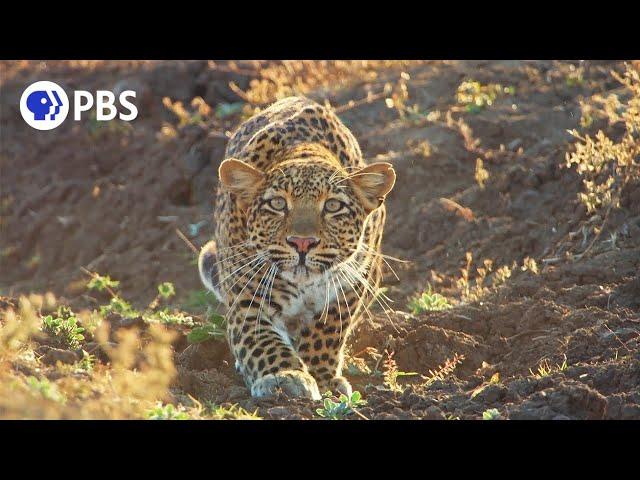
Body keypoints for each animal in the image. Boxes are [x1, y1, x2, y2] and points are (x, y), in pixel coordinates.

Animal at [198, 95, 396, 400]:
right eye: (278, 203)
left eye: (333, 206)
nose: (302, 242)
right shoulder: (247, 297)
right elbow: (262, 341)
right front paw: (284, 376)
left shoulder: (354, 282)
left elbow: (327, 331)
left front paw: (323, 379)